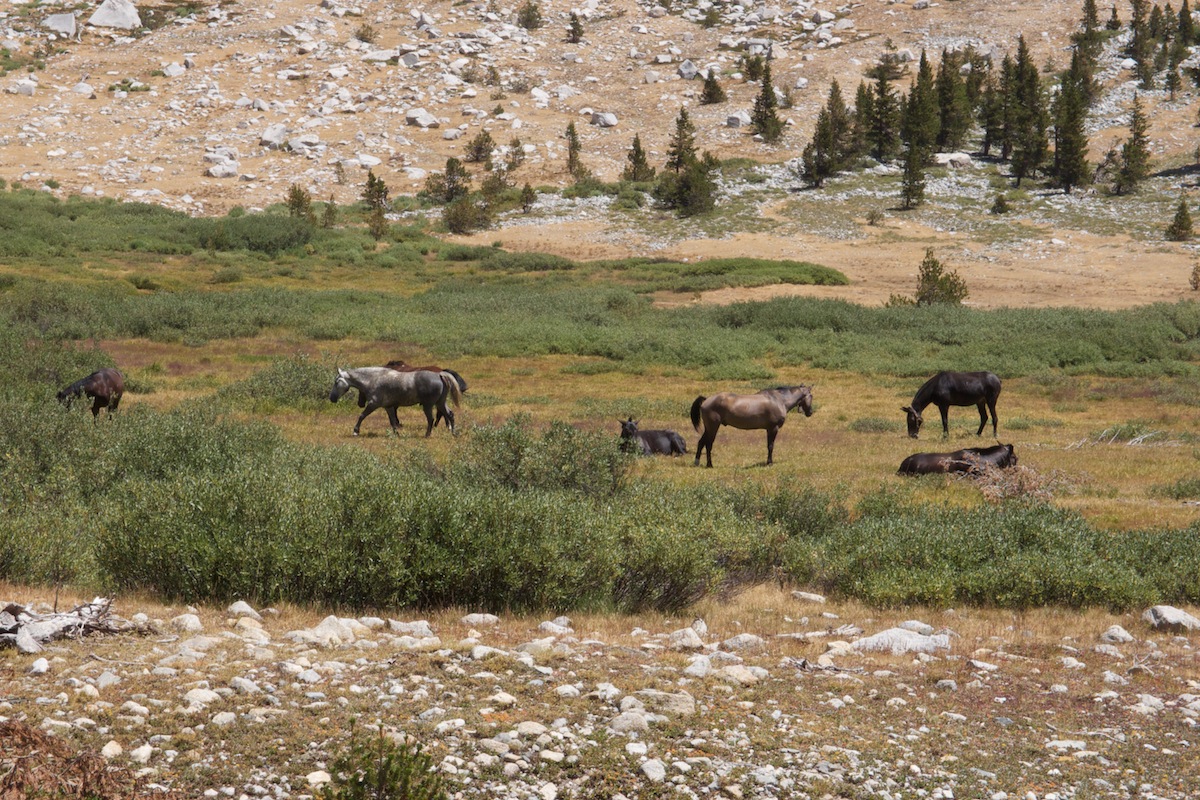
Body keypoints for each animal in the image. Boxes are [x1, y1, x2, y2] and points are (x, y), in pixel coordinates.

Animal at [328, 367, 458, 438]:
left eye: (336, 381)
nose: (331, 398)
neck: (373, 379)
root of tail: (439, 375)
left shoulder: (373, 404)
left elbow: (362, 416)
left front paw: (355, 431)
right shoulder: (388, 407)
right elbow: (392, 422)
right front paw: (396, 434)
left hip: (428, 405)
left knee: (431, 419)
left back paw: (427, 435)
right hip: (440, 403)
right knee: (450, 415)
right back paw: (453, 433)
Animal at [686, 383, 816, 465]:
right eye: (811, 396)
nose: (810, 412)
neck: (779, 400)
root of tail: (707, 400)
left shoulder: (768, 429)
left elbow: (768, 445)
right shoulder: (773, 428)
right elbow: (771, 446)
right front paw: (769, 462)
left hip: (708, 428)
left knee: (701, 442)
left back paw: (697, 462)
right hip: (713, 427)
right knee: (708, 444)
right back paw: (709, 464)